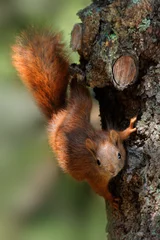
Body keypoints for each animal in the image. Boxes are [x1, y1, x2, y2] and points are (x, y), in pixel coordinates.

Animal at [11, 28, 136, 208]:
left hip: (80, 107)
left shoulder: (105, 134)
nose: (112, 171)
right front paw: (113, 200)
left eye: (119, 155)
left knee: (79, 95)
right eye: (98, 162)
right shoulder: (93, 176)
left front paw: (129, 129)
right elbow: (100, 190)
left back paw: (77, 77)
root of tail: (58, 117)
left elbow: (119, 133)